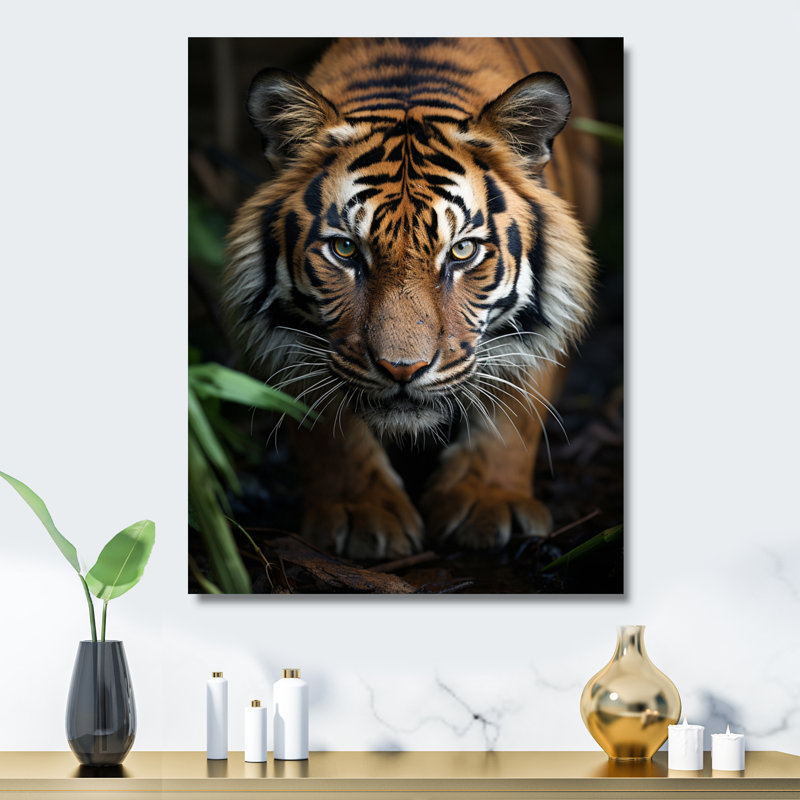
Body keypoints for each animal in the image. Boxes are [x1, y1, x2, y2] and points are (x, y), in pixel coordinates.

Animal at [224, 38, 598, 560]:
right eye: (345, 249)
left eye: (461, 251)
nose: (403, 369)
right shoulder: (293, 341)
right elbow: (324, 431)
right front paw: (359, 511)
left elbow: (514, 415)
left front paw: (488, 501)